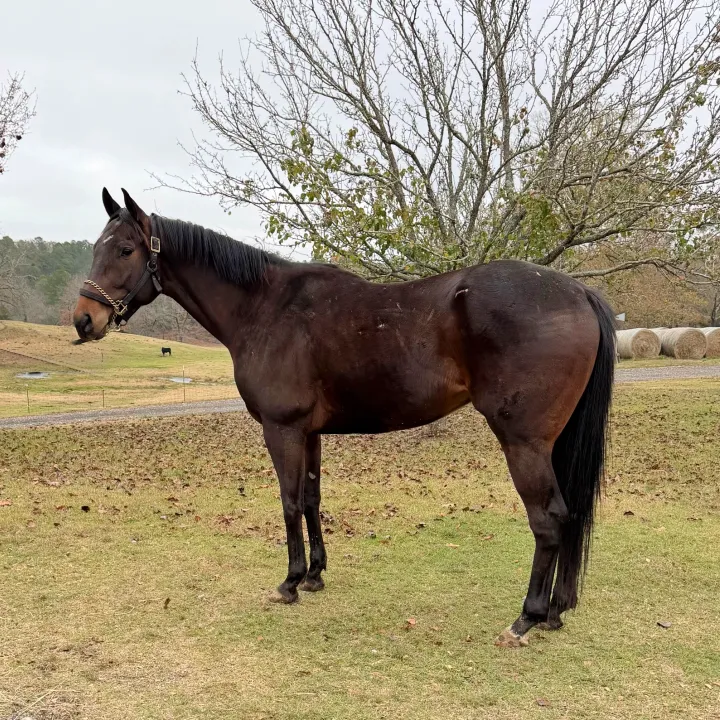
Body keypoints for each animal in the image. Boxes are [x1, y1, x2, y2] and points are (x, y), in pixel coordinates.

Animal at [73, 188, 615, 647]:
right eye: (97, 248)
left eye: (125, 250)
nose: (83, 320)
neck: (265, 308)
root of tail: (578, 293)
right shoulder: (310, 433)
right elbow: (313, 499)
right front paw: (314, 575)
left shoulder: (283, 429)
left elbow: (289, 502)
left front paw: (289, 582)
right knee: (569, 516)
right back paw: (556, 611)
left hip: (524, 443)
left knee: (549, 519)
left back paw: (527, 617)